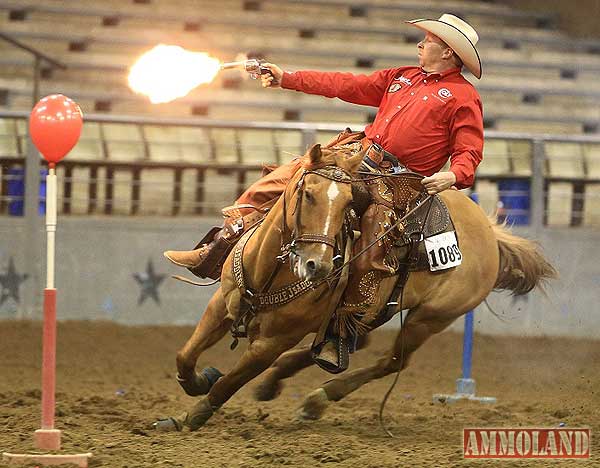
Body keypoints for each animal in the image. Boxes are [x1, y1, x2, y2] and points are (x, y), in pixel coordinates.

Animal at [154, 144, 552, 432]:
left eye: (348, 203)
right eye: (307, 193)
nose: (317, 265)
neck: (272, 269)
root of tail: (490, 233)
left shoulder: (272, 342)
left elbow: (232, 382)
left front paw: (192, 417)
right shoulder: (221, 305)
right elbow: (185, 356)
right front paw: (199, 380)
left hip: (432, 317)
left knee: (393, 360)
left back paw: (315, 400)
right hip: (377, 309)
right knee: (351, 339)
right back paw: (284, 380)